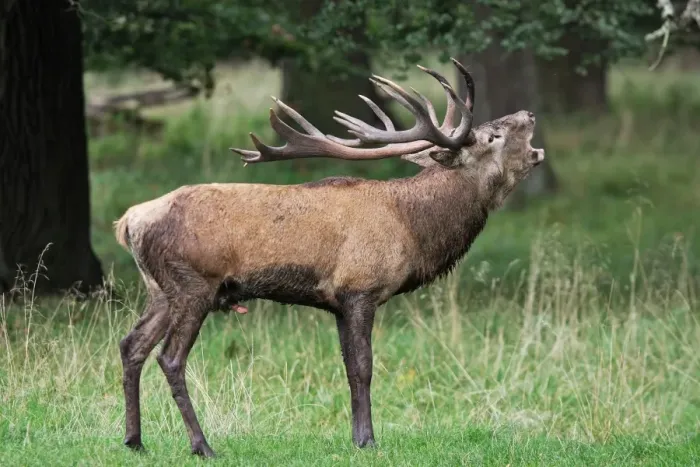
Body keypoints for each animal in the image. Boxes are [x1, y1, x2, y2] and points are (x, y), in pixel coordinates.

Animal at [113, 58, 545, 458]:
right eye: (493, 135)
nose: (529, 113)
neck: (412, 226)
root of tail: (129, 220)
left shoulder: (336, 302)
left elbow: (348, 368)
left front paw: (356, 437)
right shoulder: (361, 288)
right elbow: (364, 367)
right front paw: (369, 440)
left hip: (160, 290)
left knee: (131, 344)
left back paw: (134, 440)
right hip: (193, 284)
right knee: (170, 358)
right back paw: (202, 445)